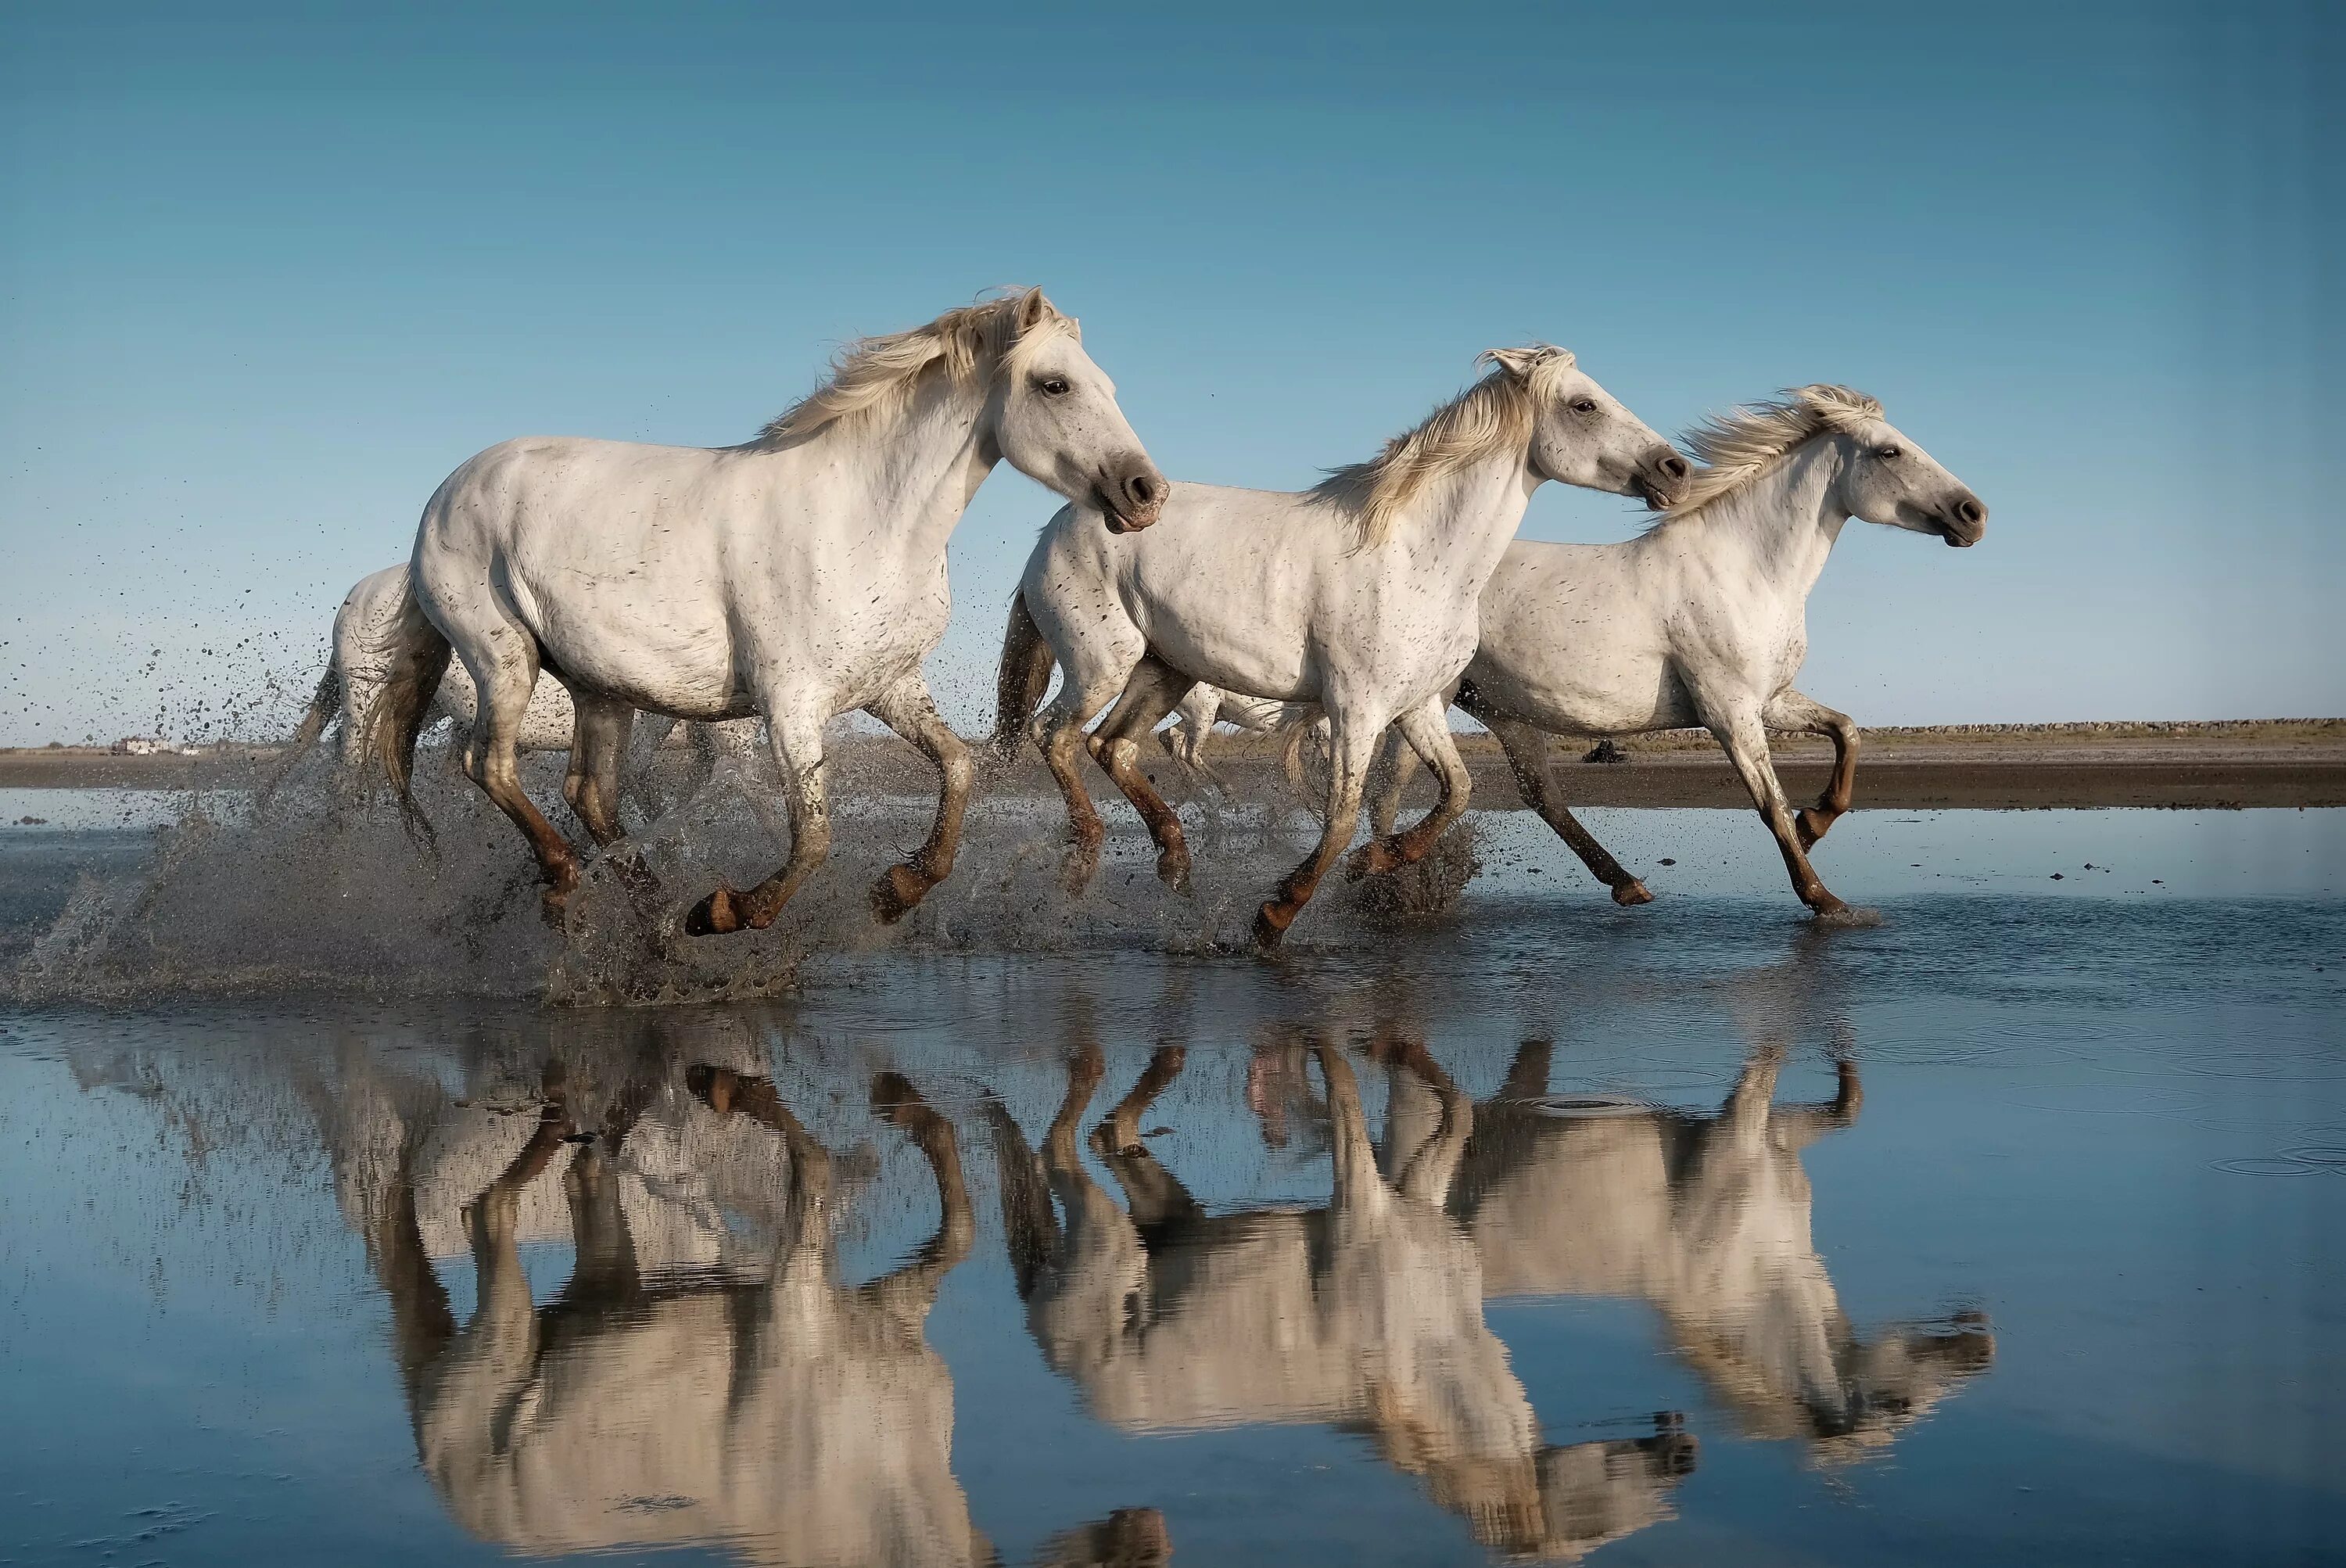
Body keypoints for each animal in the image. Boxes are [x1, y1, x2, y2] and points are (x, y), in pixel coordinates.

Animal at [364, 287, 1164, 924]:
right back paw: (571, 884)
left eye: (1109, 385)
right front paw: (725, 911)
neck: (865, 516)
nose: (1145, 493)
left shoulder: (890, 686)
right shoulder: (791, 703)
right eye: (1055, 384)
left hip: (599, 687)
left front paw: (897, 890)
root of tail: (445, 493)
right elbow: (813, 836)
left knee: (589, 795)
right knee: (490, 765)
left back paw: (654, 918)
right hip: (504, 658)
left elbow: (958, 766)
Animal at [990, 345, 1689, 943]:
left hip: (1166, 670)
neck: (1419, 556)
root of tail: (1056, 526)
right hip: (1101, 665)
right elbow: (1343, 814)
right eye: (1584, 404)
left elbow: (1456, 789)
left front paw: (1378, 860)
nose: (1674, 468)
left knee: (1114, 747)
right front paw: (1275, 915)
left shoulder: (1418, 705)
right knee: (1056, 736)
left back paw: (1176, 860)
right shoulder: (1356, 708)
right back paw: (1085, 862)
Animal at [1370, 382, 1989, 920]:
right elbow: (1769, 803)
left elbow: (1847, 730)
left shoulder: (1771, 699)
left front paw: (1814, 821)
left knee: (1540, 795)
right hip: (1434, 696)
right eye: (1890, 450)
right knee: (1396, 786)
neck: (1746, 571)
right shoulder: (1729, 711)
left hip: (1504, 710)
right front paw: (1825, 900)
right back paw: (1384, 870)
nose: (1973, 514)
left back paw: (1625, 884)